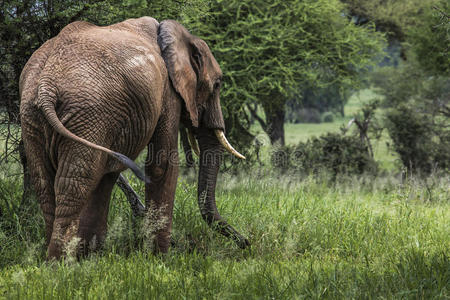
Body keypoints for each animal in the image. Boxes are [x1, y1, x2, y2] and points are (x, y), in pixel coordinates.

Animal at [20, 17, 250, 260]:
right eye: (217, 84)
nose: (246, 242)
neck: (175, 34)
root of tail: (46, 86)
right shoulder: (168, 93)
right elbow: (162, 164)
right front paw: (161, 258)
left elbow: (107, 176)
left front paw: (93, 257)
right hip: (88, 113)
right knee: (75, 184)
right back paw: (59, 263)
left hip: (34, 118)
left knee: (45, 183)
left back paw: (56, 259)